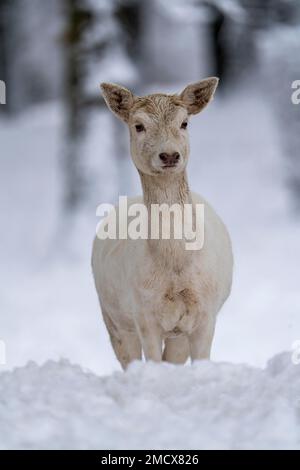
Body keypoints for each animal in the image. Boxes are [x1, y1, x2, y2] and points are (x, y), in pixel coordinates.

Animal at [92, 79, 233, 370]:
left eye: (184, 123)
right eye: (138, 125)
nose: (169, 155)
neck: (175, 270)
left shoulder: (207, 312)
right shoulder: (144, 314)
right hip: (112, 316)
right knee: (129, 359)